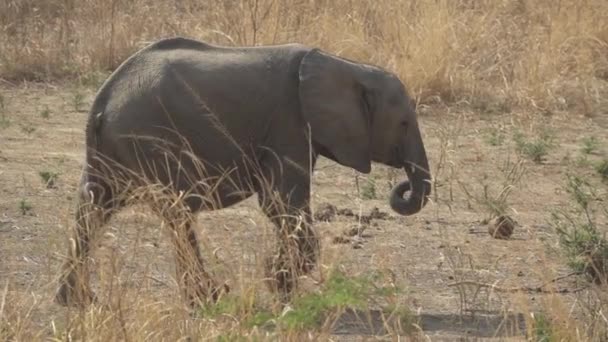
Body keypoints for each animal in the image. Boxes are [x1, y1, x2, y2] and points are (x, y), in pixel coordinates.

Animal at [54, 36, 430, 308]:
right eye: (404, 123)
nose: (403, 188)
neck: (345, 66)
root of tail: (102, 101)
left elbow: (280, 207)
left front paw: (277, 280)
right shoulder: (289, 124)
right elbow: (280, 204)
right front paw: (276, 282)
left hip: (112, 151)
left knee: (92, 209)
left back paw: (77, 301)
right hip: (150, 140)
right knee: (175, 213)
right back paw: (209, 298)